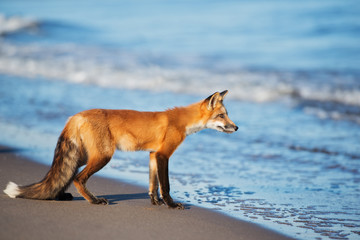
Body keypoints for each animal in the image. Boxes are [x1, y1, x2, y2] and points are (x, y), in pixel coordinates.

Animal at [4, 89, 239, 208]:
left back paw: (58, 197)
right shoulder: (164, 155)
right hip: (103, 156)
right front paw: (171, 205)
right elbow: (166, 185)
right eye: (221, 116)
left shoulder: (153, 154)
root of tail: (76, 116)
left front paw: (155, 202)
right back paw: (93, 200)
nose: (236, 127)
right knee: (78, 178)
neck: (181, 122)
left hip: (82, 156)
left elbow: (153, 184)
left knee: (64, 175)